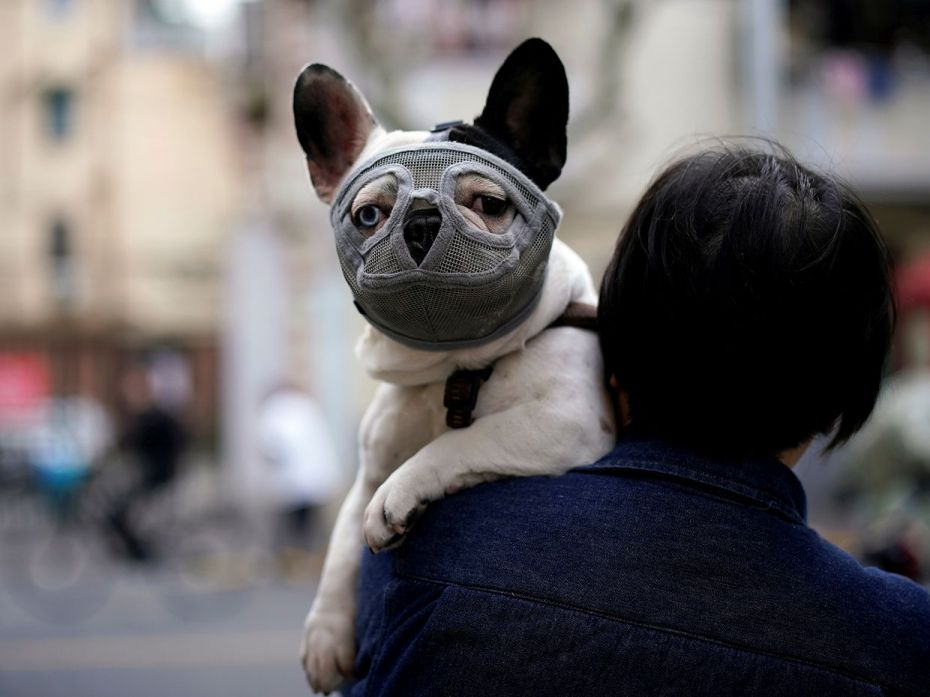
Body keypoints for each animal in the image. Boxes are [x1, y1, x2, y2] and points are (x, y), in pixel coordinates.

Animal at [286, 39, 612, 696]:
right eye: (368, 216)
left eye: (490, 204)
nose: (421, 221)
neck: (449, 369)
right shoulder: (368, 466)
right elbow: (340, 544)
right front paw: (326, 634)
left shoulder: (564, 421)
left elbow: (460, 444)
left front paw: (399, 496)